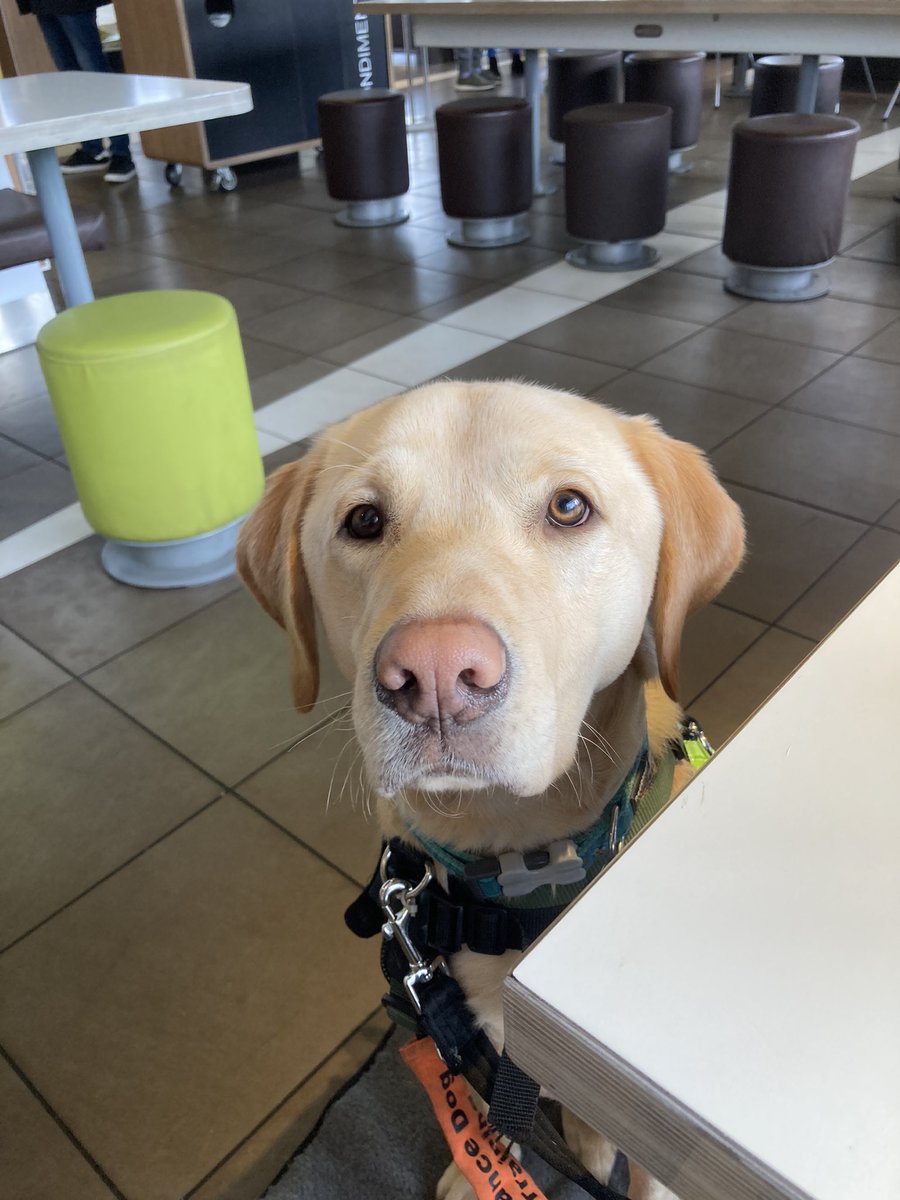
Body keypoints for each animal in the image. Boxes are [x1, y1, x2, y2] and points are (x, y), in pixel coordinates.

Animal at [236, 376, 744, 1200]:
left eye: (569, 507)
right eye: (364, 520)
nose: (437, 672)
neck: (518, 869)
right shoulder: (459, 1015)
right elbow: (486, 1092)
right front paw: (484, 1153)